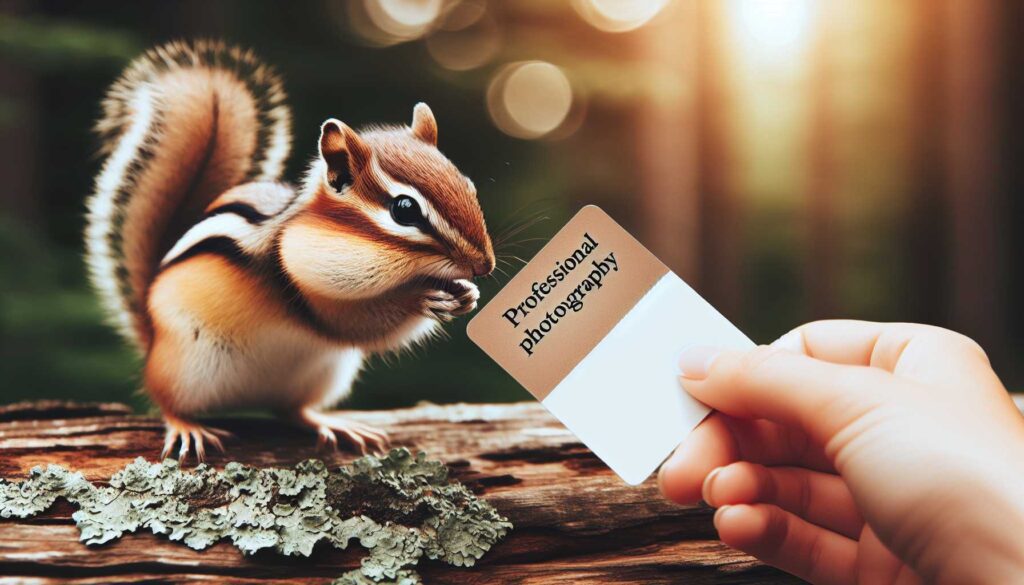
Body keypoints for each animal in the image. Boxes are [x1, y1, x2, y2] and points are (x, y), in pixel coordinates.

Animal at [85, 40, 495, 462]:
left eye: (468, 184)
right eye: (404, 209)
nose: (484, 266)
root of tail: (151, 337)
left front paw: (466, 295)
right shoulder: (298, 277)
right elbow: (352, 323)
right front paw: (423, 299)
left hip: (321, 374)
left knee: (292, 410)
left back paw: (331, 424)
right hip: (183, 366)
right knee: (167, 401)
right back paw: (187, 427)